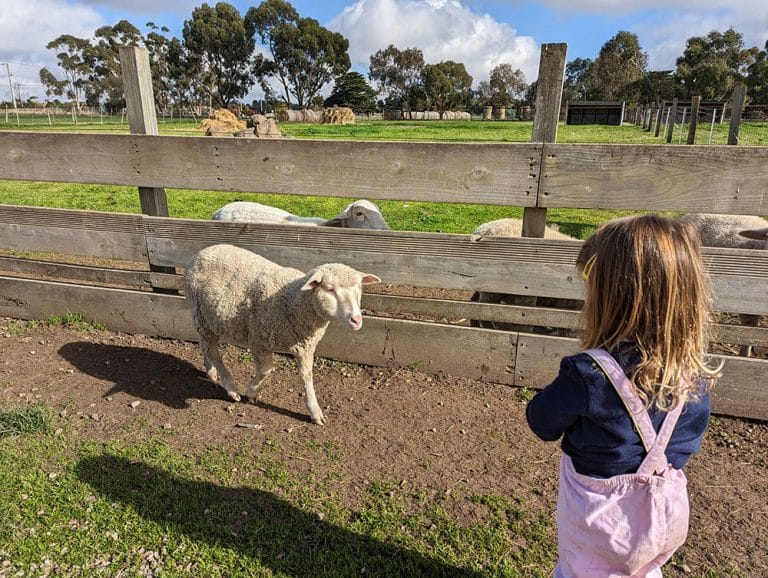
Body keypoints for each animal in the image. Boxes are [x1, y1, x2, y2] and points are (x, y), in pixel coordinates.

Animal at [183, 243, 380, 424]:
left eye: (359, 288)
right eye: (330, 289)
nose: (356, 320)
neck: (295, 301)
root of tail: (202, 252)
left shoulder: (305, 346)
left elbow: (307, 376)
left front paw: (314, 411)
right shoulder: (258, 340)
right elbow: (266, 370)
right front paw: (251, 392)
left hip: (207, 320)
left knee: (205, 346)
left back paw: (211, 371)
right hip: (201, 316)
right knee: (213, 352)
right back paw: (231, 388)